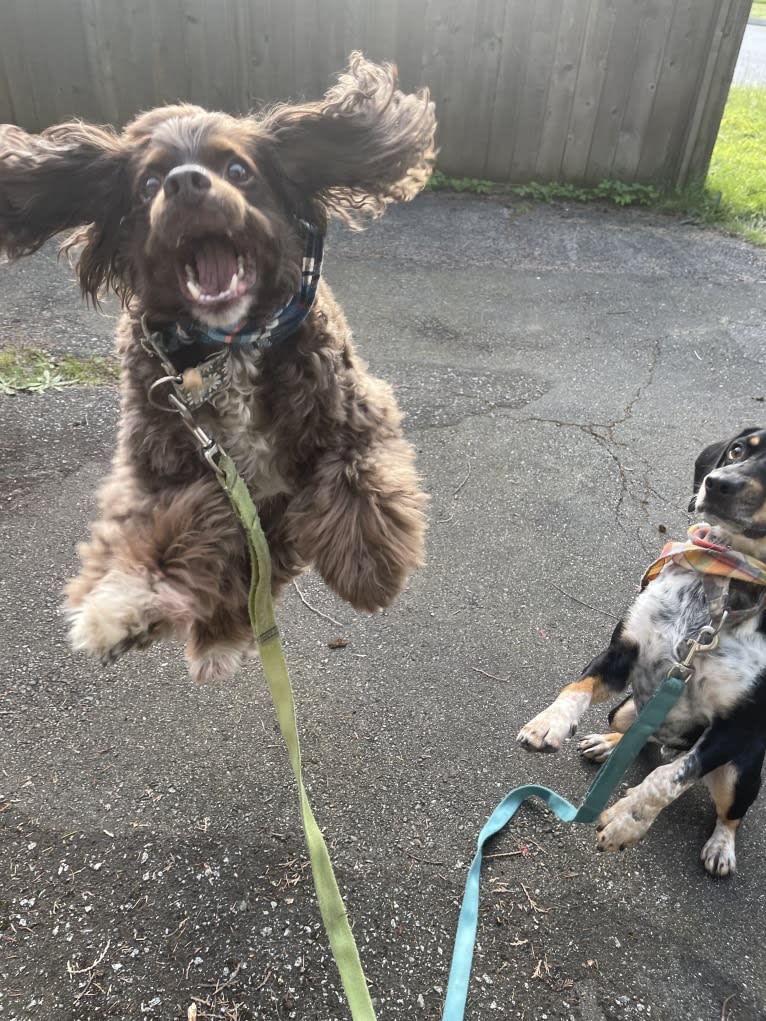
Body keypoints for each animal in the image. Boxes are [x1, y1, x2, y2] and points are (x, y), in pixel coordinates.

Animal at [516, 426, 766, 873]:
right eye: (737, 450)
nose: (717, 484)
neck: (722, 585)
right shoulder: (622, 653)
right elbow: (576, 687)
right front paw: (549, 722)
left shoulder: (735, 726)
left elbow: (670, 778)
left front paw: (626, 821)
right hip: (626, 708)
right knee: (636, 735)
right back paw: (607, 744)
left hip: (741, 771)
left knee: (728, 811)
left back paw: (721, 846)